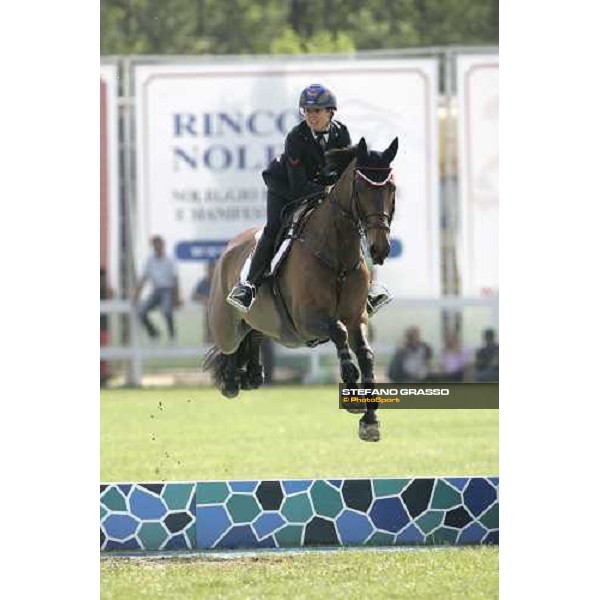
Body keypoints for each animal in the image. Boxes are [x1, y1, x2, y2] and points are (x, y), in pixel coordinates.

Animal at [203, 138, 398, 442]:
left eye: (392, 189)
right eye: (361, 188)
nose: (380, 248)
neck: (337, 255)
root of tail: (228, 248)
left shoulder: (357, 317)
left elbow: (366, 354)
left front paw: (370, 421)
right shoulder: (307, 320)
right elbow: (338, 332)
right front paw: (350, 382)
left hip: (264, 323)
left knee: (254, 332)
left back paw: (253, 375)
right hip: (225, 323)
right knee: (231, 343)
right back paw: (231, 380)